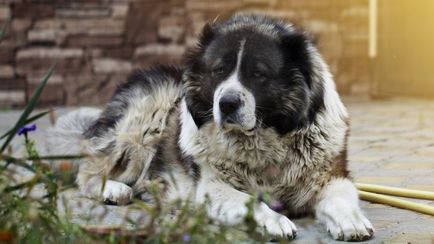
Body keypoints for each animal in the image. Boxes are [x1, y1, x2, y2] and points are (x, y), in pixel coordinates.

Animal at [46, 15, 372, 242]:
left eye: (258, 73)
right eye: (218, 70)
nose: (227, 103)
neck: (264, 141)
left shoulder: (330, 176)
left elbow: (341, 198)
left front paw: (352, 221)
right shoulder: (211, 186)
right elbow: (248, 200)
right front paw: (275, 221)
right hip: (147, 116)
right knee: (88, 171)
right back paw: (115, 189)